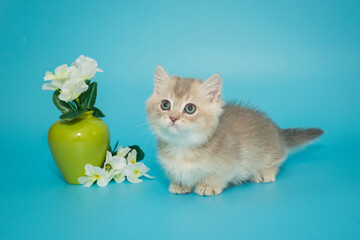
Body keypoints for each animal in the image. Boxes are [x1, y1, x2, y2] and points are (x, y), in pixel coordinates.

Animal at [146, 65, 324, 195]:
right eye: (165, 104)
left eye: (190, 108)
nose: (173, 118)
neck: (183, 146)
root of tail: (278, 132)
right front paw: (180, 184)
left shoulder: (229, 162)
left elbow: (219, 174)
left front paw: (208, 186)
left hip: (269, 153)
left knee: (277, 161)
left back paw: (264, 172)